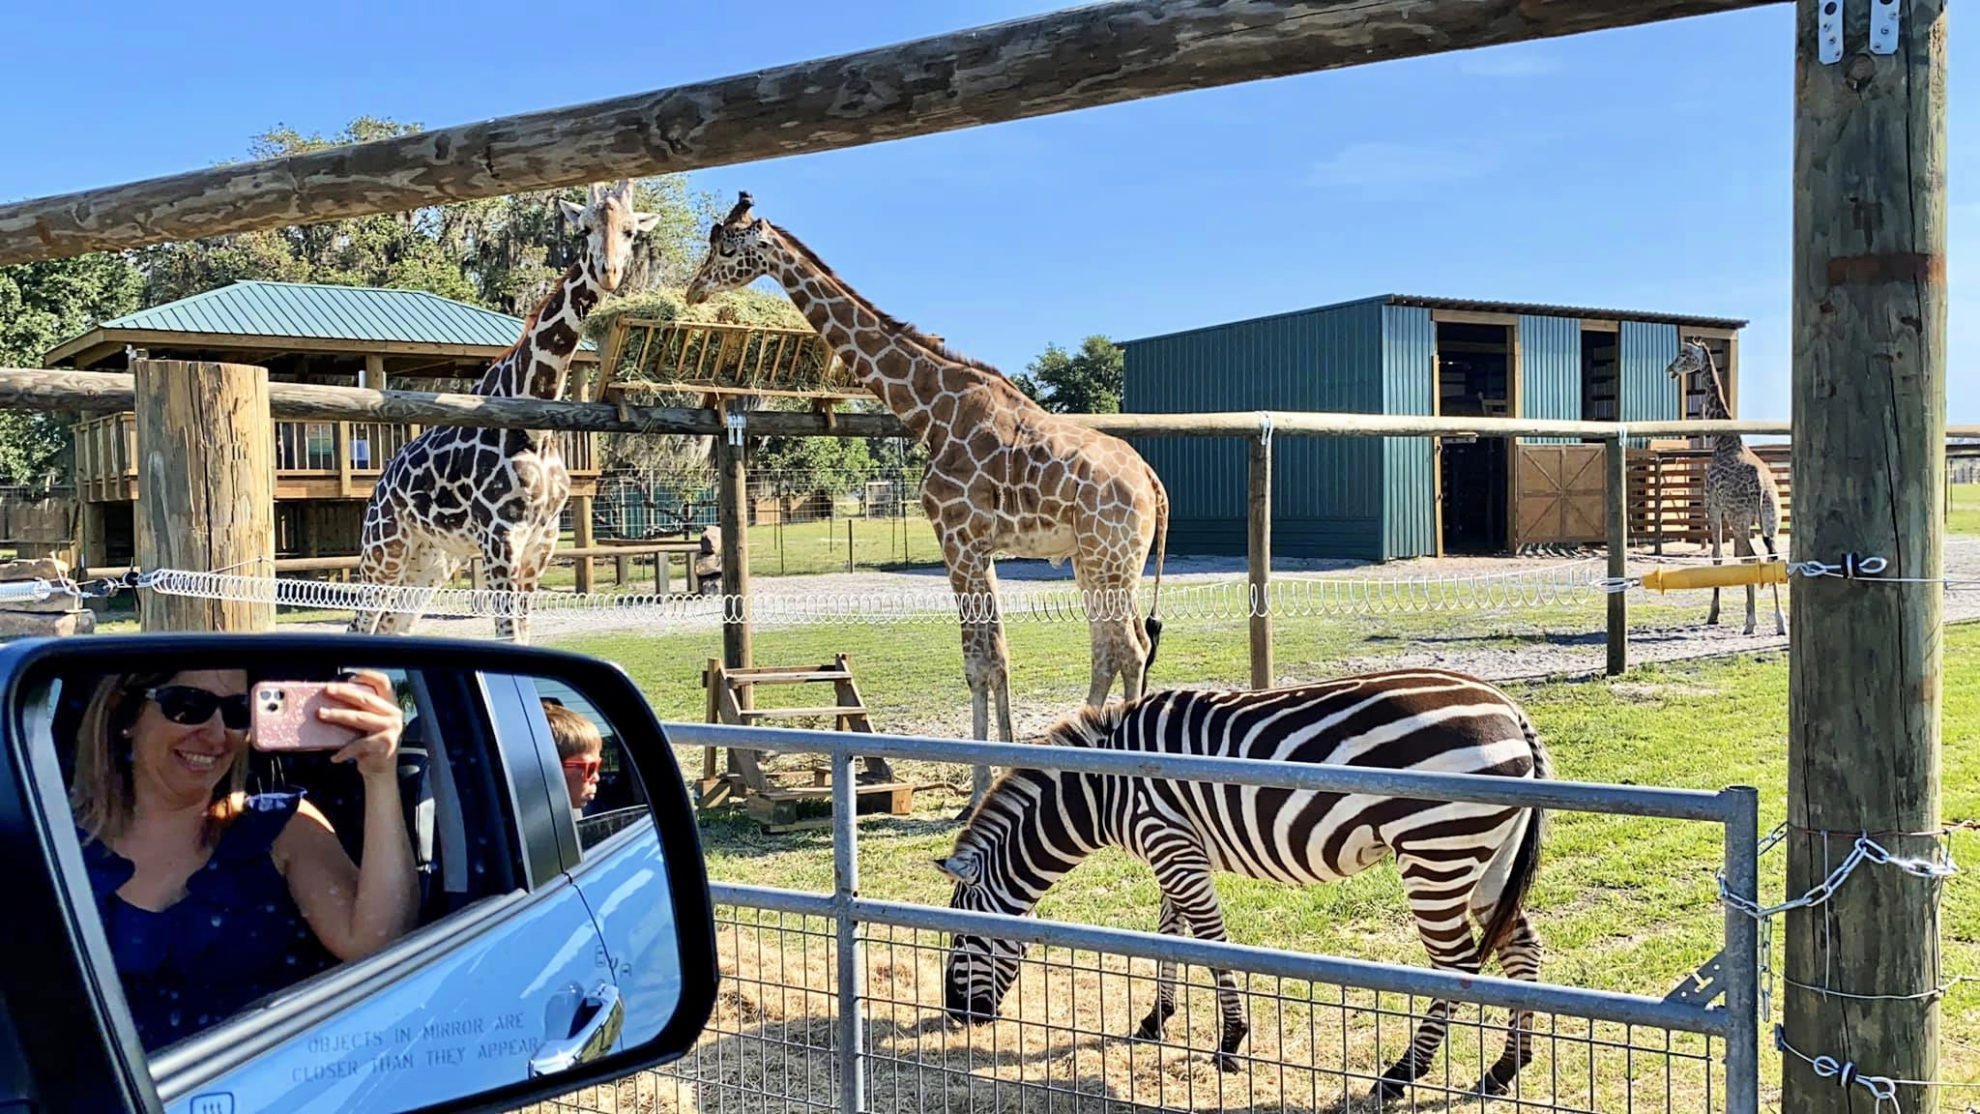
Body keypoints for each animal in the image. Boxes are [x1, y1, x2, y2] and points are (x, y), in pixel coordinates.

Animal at [352, 179, 661, 641]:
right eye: (584, 228)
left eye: (630, 231)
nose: (608, 272)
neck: (537, 429)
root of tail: (380, 484)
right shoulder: (500, 536)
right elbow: (508, 632)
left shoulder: (541, 541)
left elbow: (524, 632)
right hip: (384, 548)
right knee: (360, 621)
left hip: (432, 559)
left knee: (393, 626)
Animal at [689, 191, 1164, 803]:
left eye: (727, 248)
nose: (693, 290)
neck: (930, 411)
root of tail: (1152, 482)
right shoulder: (979, 547)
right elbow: (998, 656)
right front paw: (996, 772)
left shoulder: (956, 538)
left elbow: (979, 662)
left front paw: (980, 786)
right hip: (1094, 559)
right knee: (1115, 648)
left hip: (1111, 556)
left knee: (1128, 647)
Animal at [934, 668, 1552, 1100]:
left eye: (961, 939)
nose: (958, 1018)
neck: (1105, 788)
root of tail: (1512, 711)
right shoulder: (1173, 846)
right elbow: (1169, 934)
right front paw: (1155, 1021)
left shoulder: (1169, 841)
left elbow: (1208, 943)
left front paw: (1230, 1042)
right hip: (1485, 858)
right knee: (1522, 947)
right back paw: (1503, 1070)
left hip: (1437, 851)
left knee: (1456, 966)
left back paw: (1399, 1077)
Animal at [1663, 340, 1789, 637]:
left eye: (1684, 354)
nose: (1670, 368)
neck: (1723, 441)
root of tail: (1763, 488)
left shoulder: (1713, 505)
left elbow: (1718, 556)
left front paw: (1714, 613)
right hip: (1770, 520)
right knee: (1772, 558)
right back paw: (1780, 622)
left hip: (1739, 518)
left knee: (1752, 559)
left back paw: (1751, 622)